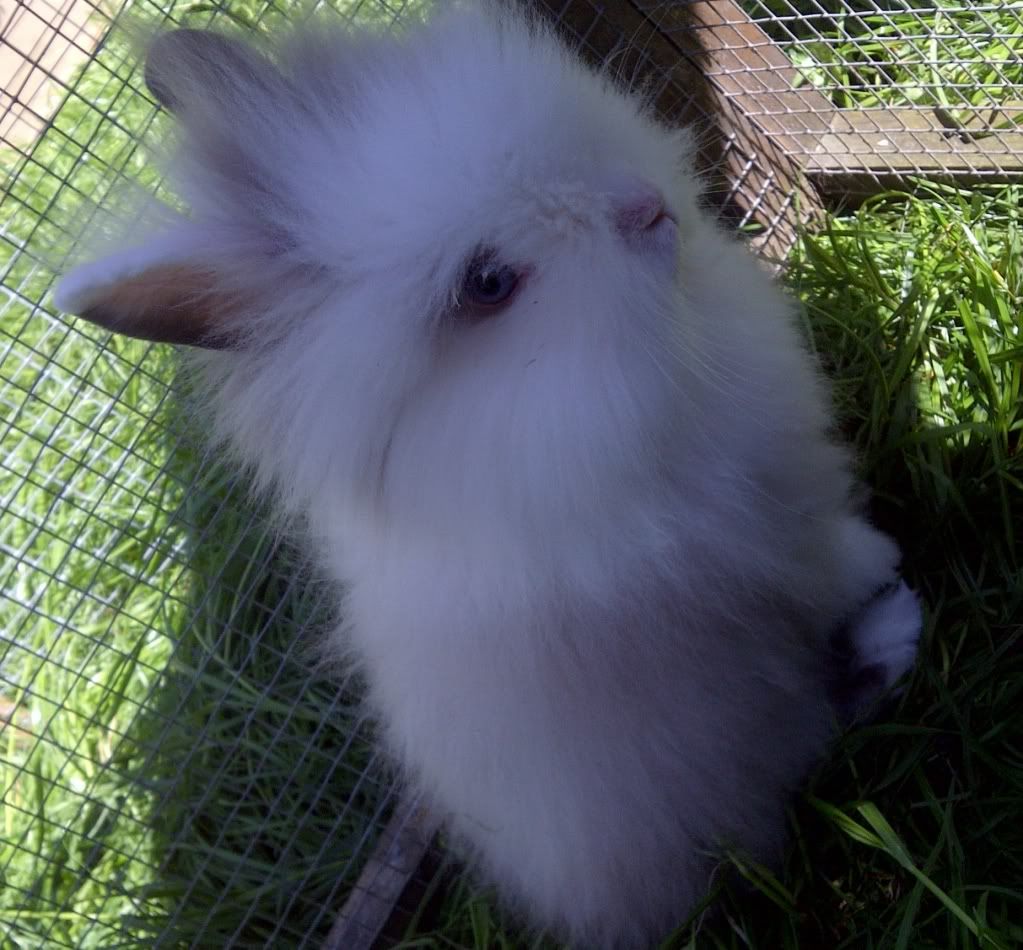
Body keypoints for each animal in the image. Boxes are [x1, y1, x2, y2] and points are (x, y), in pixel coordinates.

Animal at [53, 3, 922, 947]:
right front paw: (884, 565)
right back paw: (897, 634)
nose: (644, 207)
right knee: (814, 739)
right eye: (488, 283)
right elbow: (825, 566)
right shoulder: (757, 533)